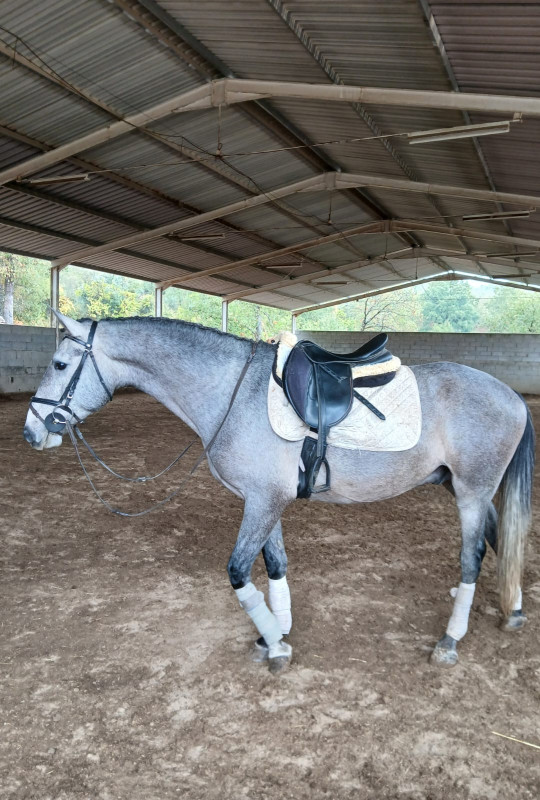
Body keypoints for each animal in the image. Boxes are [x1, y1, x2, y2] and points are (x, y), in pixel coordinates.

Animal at [23, 311, 535, 674]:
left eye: (60, 364)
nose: (31, 432)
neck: (233, 394)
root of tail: (512, 397)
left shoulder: (262, 502)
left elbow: (237, 572)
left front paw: (274, 646)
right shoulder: (265, 501)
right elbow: (275, 565)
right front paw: (277, 631)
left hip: (471, 493)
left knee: (472, 557)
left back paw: (450, 640)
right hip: (463, 488)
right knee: (500, 539)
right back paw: (512, 610)